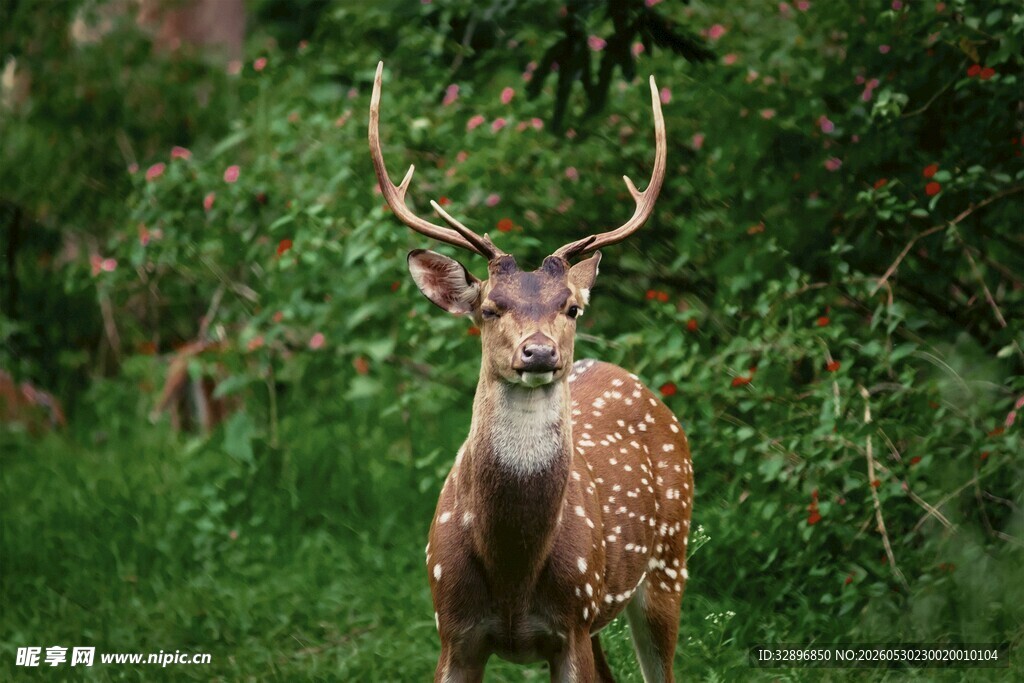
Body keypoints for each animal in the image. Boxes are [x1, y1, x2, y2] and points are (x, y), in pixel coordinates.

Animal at [369, 62, 693, 682]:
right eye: (490, 307)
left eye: (571, 307)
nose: (539, 353)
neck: (513, 568)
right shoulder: (452, 629)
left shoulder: (571, 622)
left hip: (669, 558)